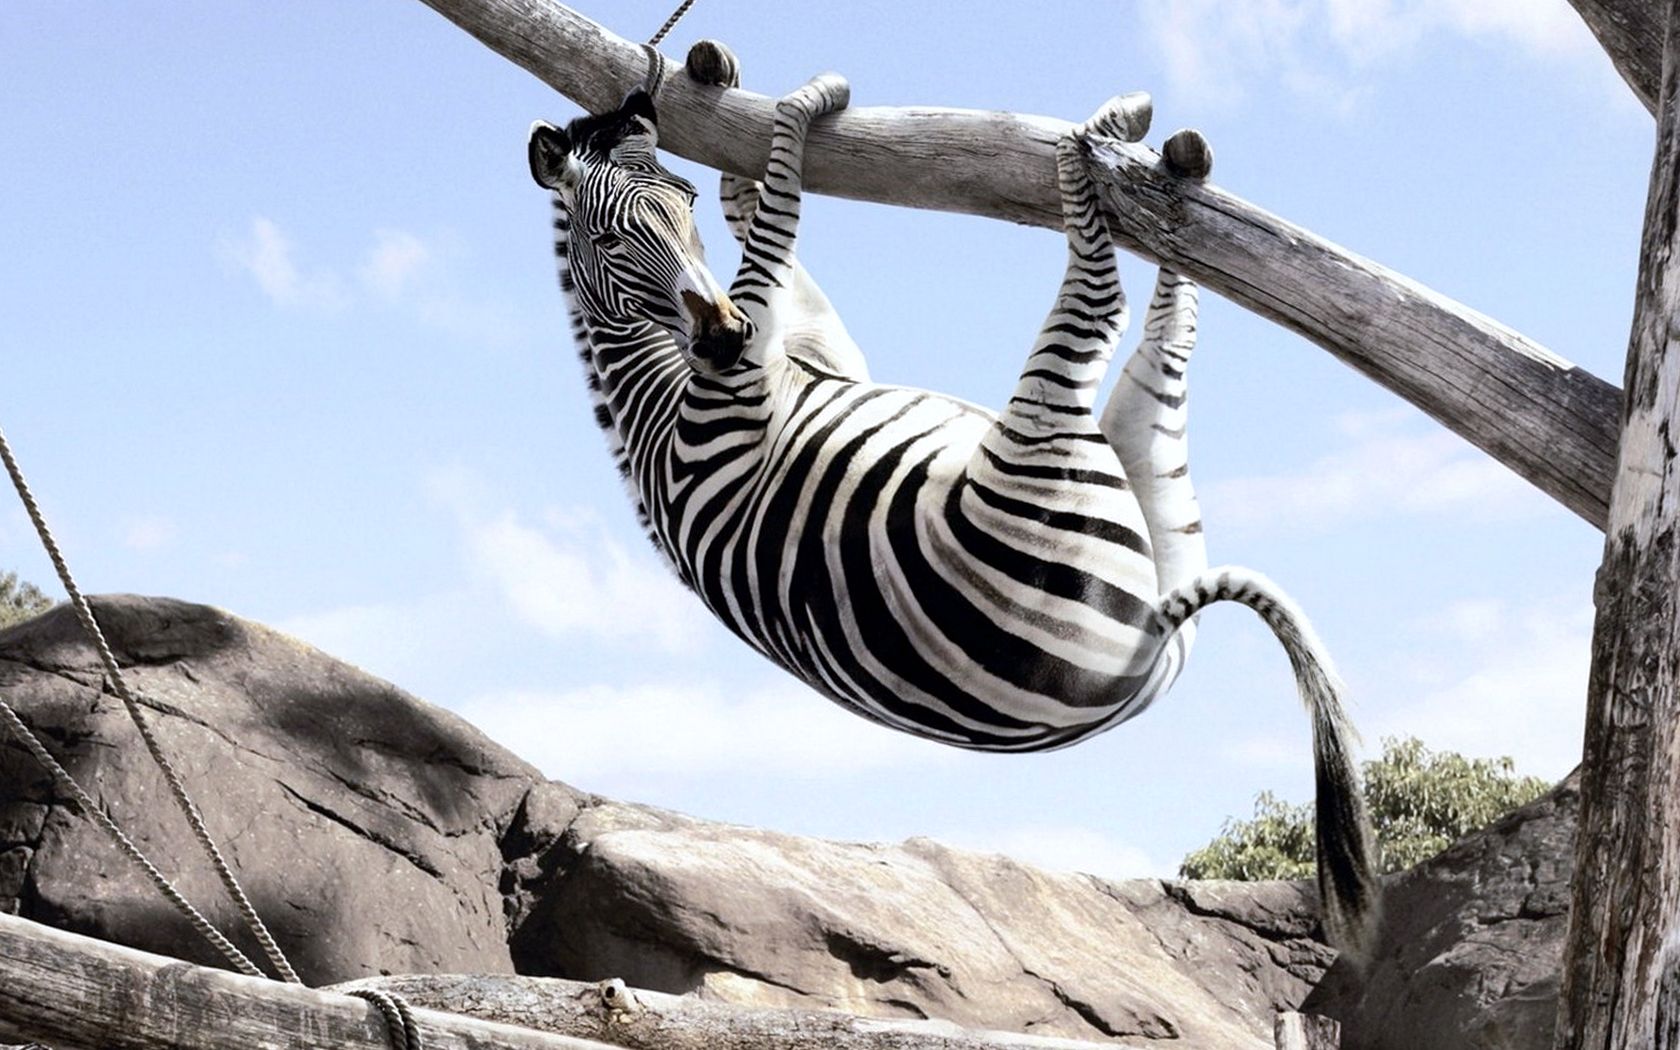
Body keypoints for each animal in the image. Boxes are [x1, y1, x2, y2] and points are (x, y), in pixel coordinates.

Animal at [526, 41, 1379, 957]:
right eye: (611, 237)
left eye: (678, 204)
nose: (719, 336)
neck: (659, 393)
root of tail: (1152, 637)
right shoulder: (746, 379)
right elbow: (777, 226)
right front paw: (806, 104)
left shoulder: (818, 349)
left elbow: (763, 223)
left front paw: (743, 109)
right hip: (1049, 443)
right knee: (1103, 298)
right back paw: (1098, 141)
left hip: (1157, 485)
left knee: (1168, 333)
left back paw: (1173, 175)